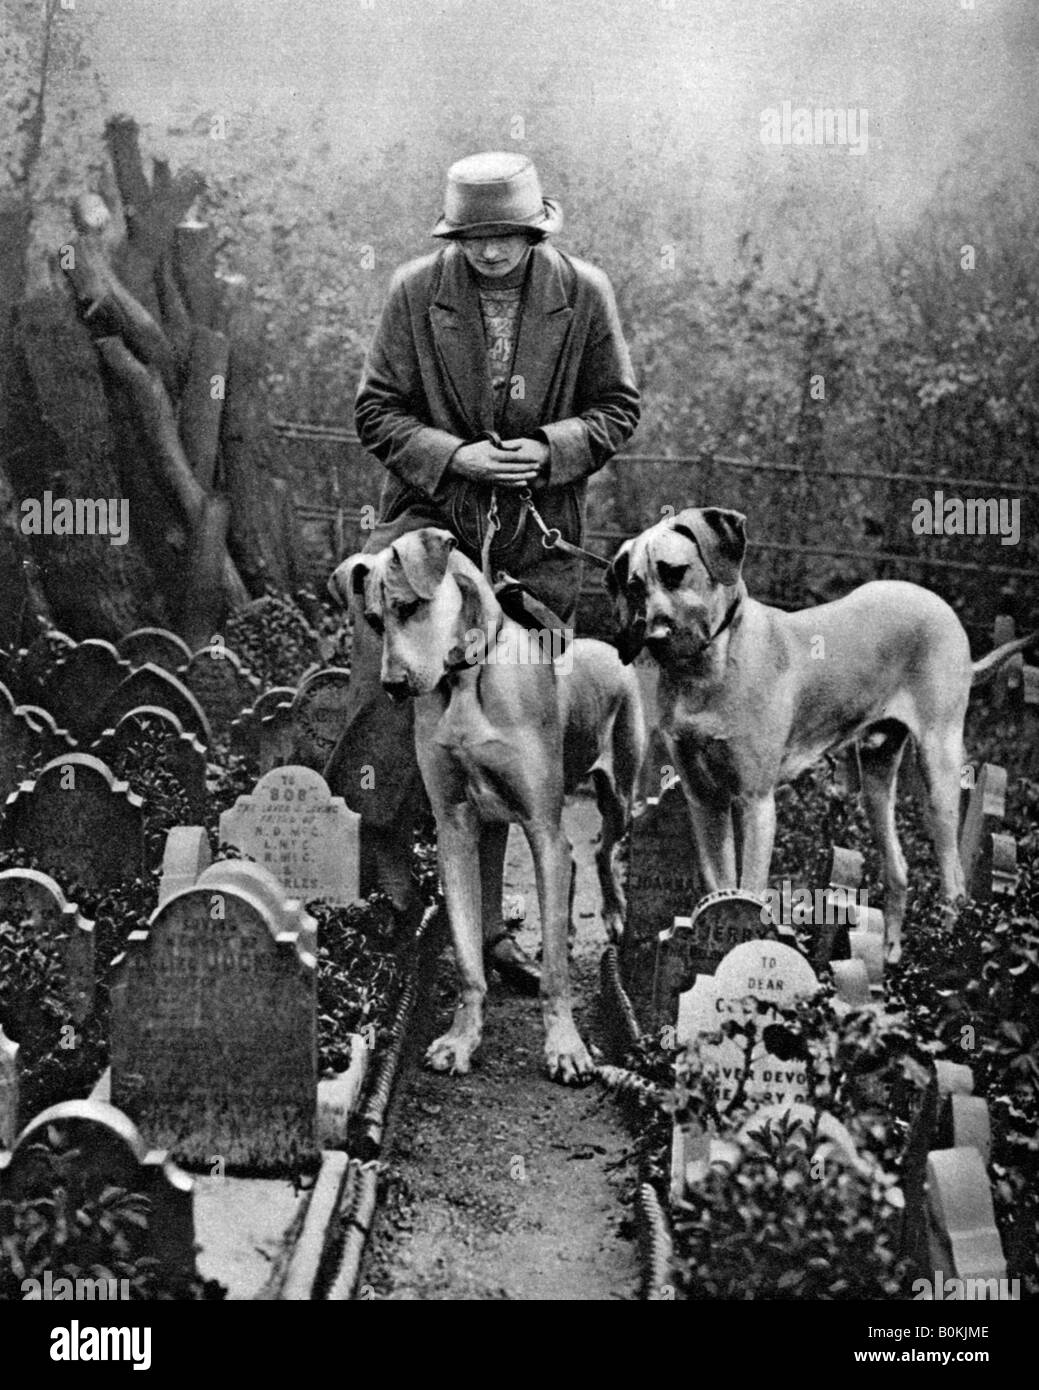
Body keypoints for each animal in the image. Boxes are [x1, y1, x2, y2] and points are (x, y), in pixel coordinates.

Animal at [331, 525, 650, 1078]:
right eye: (373, 619)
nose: (393, 685)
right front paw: (462, 1038)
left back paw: (612, 914)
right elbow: (466, 956)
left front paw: (566, 1046)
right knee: (573, 860)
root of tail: (611, 650)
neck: (464, 682)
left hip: (619, 792)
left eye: (410, 606)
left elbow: (556, 976)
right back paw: (565, 931)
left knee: (601, 849)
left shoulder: (541, 824)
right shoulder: (454, 828)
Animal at [606, 505, 1034, 961]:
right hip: (877, 776)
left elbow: (748, 889)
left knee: (954, 879)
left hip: (939, 769)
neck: (708, 669)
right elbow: (718, 883)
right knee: (898, 868)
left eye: (675, 572)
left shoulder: (755, 802)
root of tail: (937, 603)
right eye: (634, 586)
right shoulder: (704, 801)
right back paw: (890, 951)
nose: (653, 636)